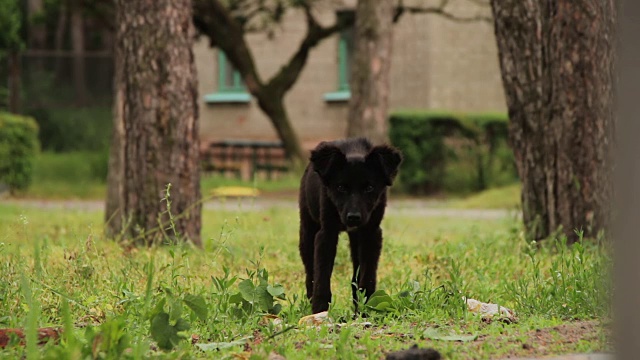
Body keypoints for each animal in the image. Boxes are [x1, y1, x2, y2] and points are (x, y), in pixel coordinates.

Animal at [298, 136, 400, 314]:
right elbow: (322, 277)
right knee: (310, 273)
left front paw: (366, 309)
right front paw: (320, 310)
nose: (354, 218)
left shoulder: (371, 233)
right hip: (308, 231)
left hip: (356, 239)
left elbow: (367, 276)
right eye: (340, 187)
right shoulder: (326, 234)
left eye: (369, 188)